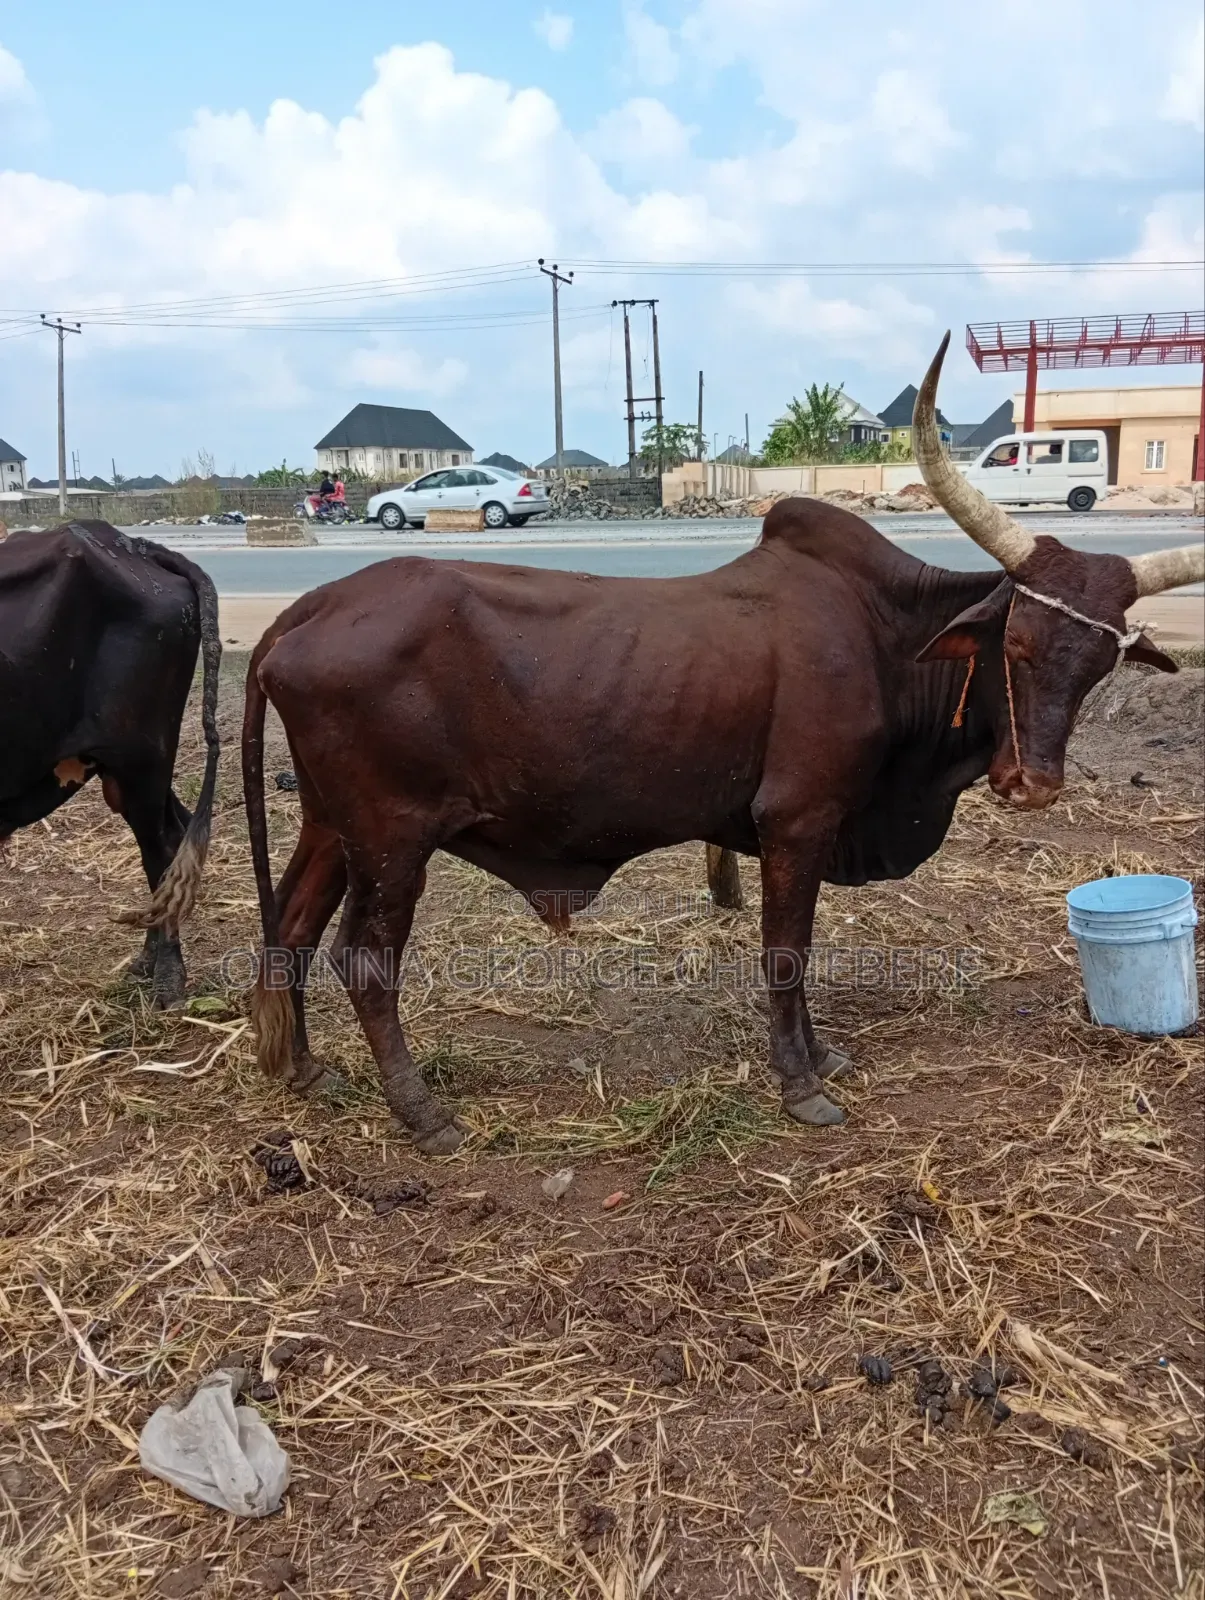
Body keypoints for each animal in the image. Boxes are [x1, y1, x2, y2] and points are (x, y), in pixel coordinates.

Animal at [1, 521, 220, 1004]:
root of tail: (131, 544)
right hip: (131, 764)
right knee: (175, 833)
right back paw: (146, 962)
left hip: (142, 757)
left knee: (161, 852)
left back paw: (167, 977)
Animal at [242, 335, 1203, 1155]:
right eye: (1017, 644)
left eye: (1099, 665)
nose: (1031, 784)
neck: (882, 635)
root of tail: (307, 611)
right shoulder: (796, 821)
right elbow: (786, 952)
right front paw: (801, 1085)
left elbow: (798, 953)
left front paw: (821, 1056)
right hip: (392, 838)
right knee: (364, 961)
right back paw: (423, 1114)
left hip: (333, 828)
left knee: (290, 927)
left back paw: (305, 1072)